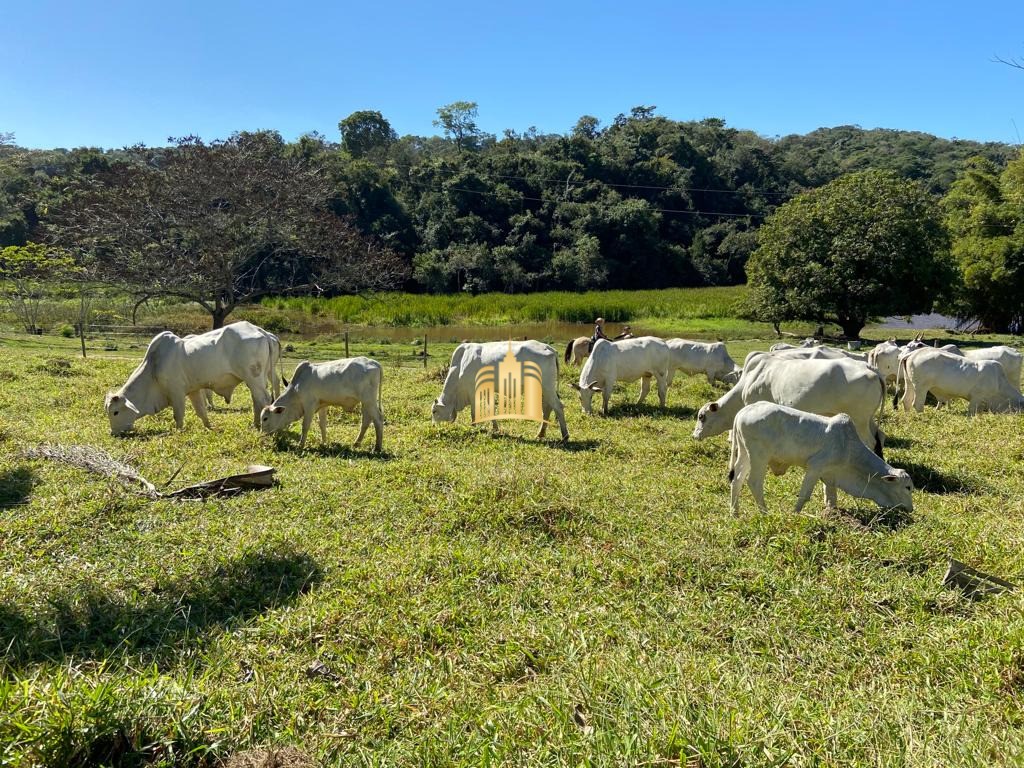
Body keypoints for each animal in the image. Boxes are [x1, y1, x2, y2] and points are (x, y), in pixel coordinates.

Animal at [103, 321, 276, 436]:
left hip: (254, 378)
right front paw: (210, 428)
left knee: (265, 400)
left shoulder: (176, 392)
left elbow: (178, 415)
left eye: (115, 412)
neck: (153, 367)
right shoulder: (194, 391)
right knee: (257, 400)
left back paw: (265, 428)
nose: (113, 433)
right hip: (256, 380)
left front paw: (178, 432)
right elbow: (201, 412)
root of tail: (260, 331)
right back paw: (255, 424)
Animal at [428, 342, 565, 442]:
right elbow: (491, 409)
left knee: (558, 406)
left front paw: (473, 427)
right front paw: (495, 428)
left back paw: (565, 435)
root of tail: (549, 348)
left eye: (434, 411)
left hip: (547, 387)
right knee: (547, 408)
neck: (460, 365)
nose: (433, 426)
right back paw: (540, 434)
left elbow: (474, 412)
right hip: (543, 390)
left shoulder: (473, 392)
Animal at [696, 356, 888, 456]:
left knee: (870, 442)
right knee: (879, 436)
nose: (695, 435)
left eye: (701, 416)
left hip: (859, 419)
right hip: (867, 419)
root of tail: (871, 368)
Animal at [724, 403, 917, 518]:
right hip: (759, 457)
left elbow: (831, 497)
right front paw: (795, 514)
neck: (848, 447)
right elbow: (804, 495)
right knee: (754, 482)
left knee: (737, 480)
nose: (911, 508)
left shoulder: (830, 475)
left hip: (744, 454)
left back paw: (735, 514)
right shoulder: (815, 467)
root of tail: (743, 411)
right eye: (907, 487)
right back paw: (765, 513)